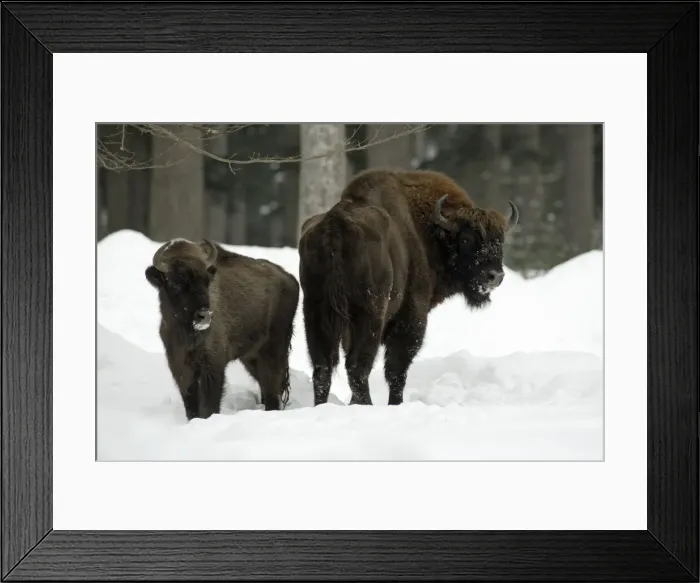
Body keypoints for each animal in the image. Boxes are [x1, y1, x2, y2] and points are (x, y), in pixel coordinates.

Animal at [145, 238, 300, 420]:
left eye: (206, 281)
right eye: (175, 283)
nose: (204, 315)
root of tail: (289, 278)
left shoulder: (213, 366)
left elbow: (210, 404)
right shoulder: (180, 366)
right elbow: (191, 405)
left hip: (273, 350)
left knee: (272, 388)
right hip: (250, 356)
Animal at [298, 168, 519, 407]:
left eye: (500, 240)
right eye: (466, 239)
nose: (494, 276)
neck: (429, 231)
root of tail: (335, 225)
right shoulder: (411, 316)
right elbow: (397, 369)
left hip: (315, 312)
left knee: (323, 368)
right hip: (369, 315)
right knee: (357, 367)